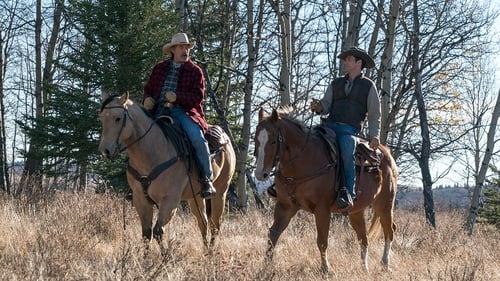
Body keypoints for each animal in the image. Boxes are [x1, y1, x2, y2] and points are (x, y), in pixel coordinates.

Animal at [99, 92, 236, 252]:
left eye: (118, 118)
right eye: (102, 118)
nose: (105, 150)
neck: (152, 153)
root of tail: (225, 138)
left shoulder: (170, 200)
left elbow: (158, 231)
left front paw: (166, 257)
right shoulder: (140, 199)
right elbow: (147, 234)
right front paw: (146, 259)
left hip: (221, 192)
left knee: (215, 225)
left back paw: (212, 252)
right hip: (195, 197)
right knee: (203, 223)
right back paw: (206, 251)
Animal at [256, 105, 396, 272]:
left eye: (273, 141)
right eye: (256, 139)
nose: (260, 174)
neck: (304, 160)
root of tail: (386, 153)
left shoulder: (322, 209)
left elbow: (322, 240)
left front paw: (326, 269)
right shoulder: (285, 206)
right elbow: (273, 234)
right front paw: (265, 267)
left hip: (385, 204)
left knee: (389, 231)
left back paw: (385, 264)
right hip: (356, 211)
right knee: (364, 238)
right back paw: (364, 268)